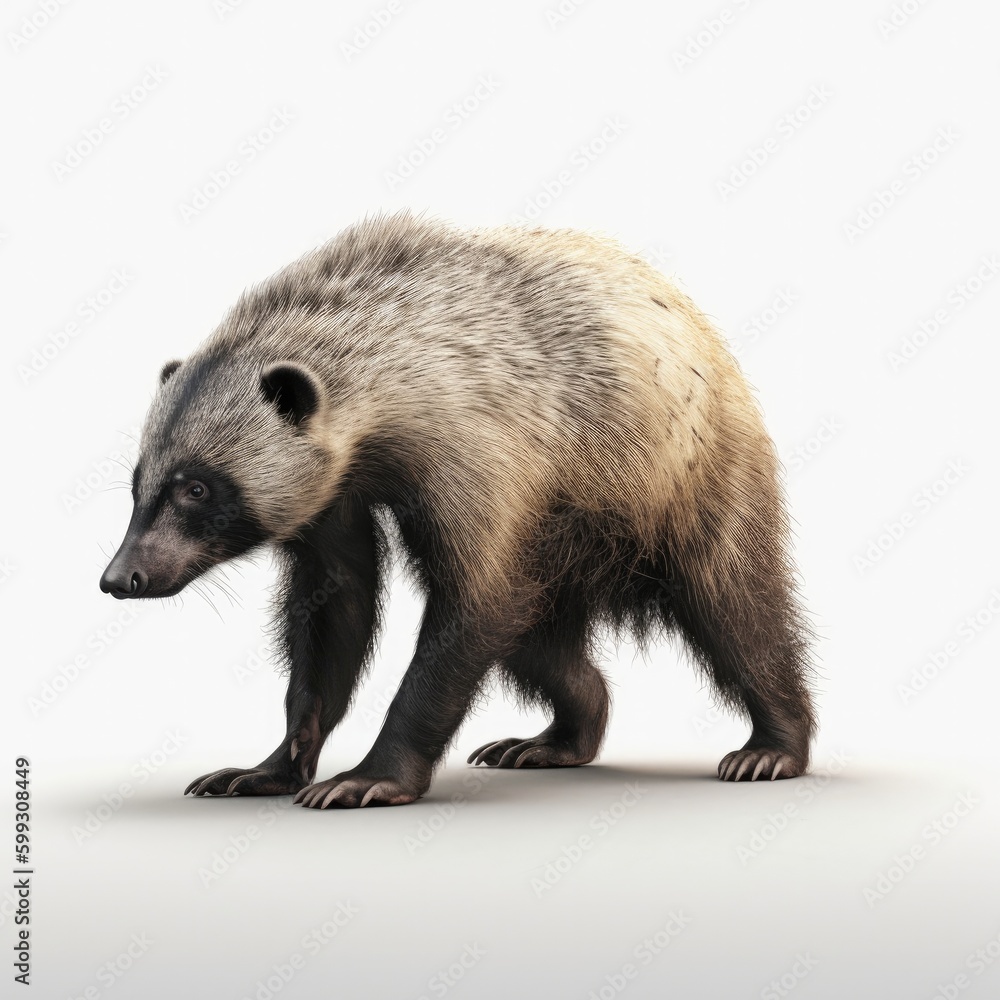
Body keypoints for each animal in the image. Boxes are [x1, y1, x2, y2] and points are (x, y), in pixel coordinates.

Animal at [99, 212, 816, 808]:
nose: (122, 577)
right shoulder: (335, 485)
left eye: (196, 488)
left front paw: (369, 776)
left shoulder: (477, 448)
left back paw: (774, 742)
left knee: (733, 604)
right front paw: (271, 763)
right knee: (539, 642)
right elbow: (335, 603)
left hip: (685, 478)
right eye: (138, 485)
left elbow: (472, 605)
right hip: (567, 543)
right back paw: (558, 734)